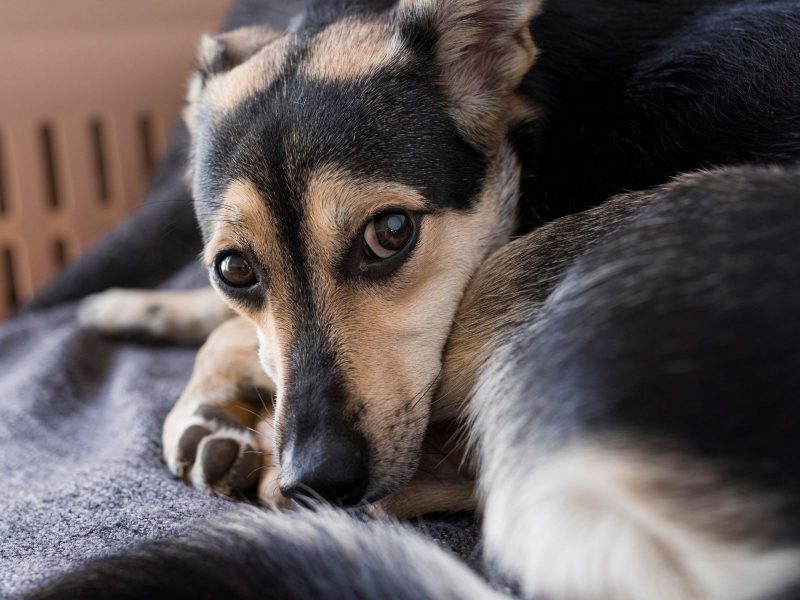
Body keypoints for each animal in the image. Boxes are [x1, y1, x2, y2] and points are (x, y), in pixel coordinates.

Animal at [64, 0, 800, 596]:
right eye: (233, 269)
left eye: (391, 232)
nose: (317, 479)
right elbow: (228, 321)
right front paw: (132, 307)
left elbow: (233, 336)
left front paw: (204, 404)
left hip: (544, 265)